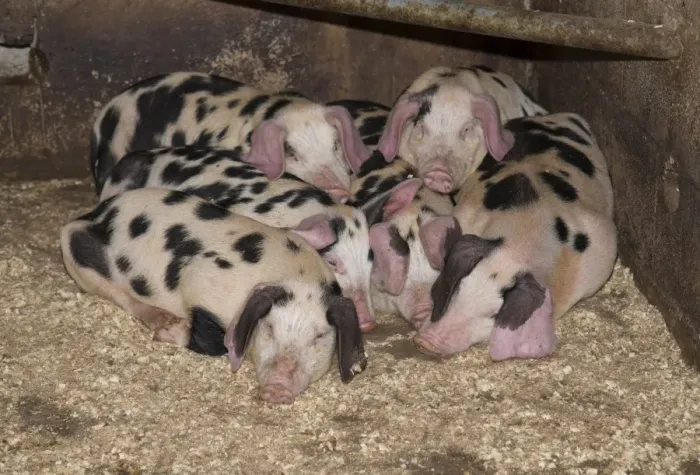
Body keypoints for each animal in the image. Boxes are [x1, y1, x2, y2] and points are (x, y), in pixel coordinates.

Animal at [60, 187, 368, 404]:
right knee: (118, 293)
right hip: (76, 249)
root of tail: (95, 214)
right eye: (269, 328)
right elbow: (213, 341)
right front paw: (173, 332)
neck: (293, 272)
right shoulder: (199, 281)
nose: (276, 388)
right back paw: (164, 323)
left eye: (319, 337)